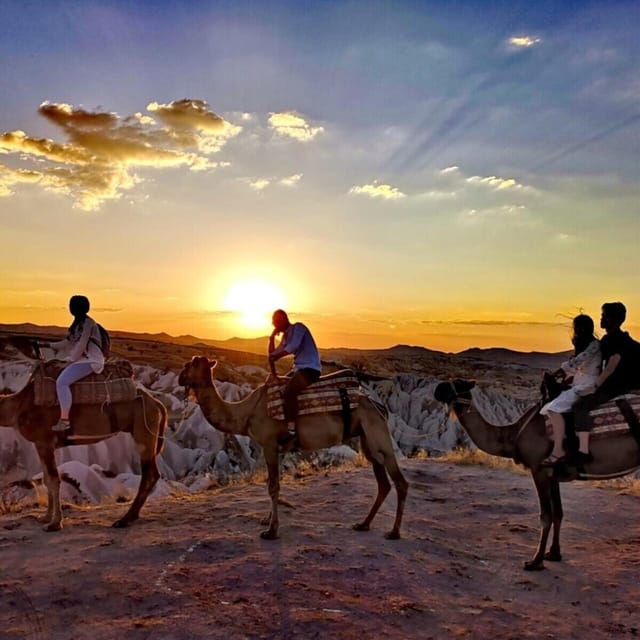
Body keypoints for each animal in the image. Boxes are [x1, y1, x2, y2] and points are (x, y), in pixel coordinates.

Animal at [0, 340, 168, 528]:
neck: (19, 406)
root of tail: (157, 403)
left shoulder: (44, 441)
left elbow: (53, 480)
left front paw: (55, 523)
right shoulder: (41, 444)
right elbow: (46, 478)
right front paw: (46, 517)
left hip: (143, 432)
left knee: (149, 474)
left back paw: (124, 519)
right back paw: (130, 517)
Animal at [178, 358, 408, 536]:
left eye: (192, 363)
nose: (180, 377)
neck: (246, 413)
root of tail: (378, 406)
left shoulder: (269, 445)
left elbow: (273, 487)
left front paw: (271, 531)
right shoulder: (277, 449)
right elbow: (274, 484)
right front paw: (267, 520)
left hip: (378, 435)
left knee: (400, 481)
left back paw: (394, 532)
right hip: (367, 439)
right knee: (383, 483)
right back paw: (363, 524)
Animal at [432, 380, 640, 568]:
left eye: (459, 384)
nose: (438, 388)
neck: (513, 434)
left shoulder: (538, 468)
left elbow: (545, 516)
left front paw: (535, 561)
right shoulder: (552, 473)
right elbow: (558, 513)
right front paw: (553, 554)